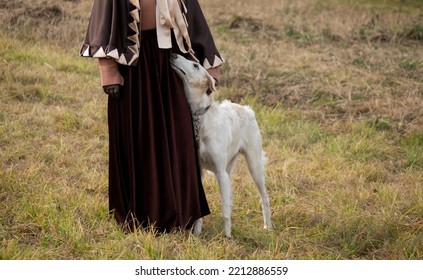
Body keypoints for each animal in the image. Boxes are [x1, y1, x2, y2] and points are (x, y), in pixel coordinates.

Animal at [171, 54, 274, 236]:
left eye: (196, 65)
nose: (174, 54)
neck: (201, 120)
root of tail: (247, 109)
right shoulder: (199, 172)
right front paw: (197, 233)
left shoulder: (220, 171)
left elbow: (225, 211)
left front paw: (227, 236)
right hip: (229, 169)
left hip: (253, 166)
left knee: (264, 197)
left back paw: (267, 226)